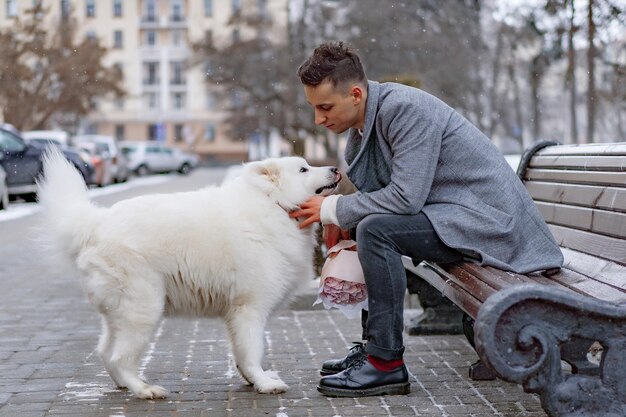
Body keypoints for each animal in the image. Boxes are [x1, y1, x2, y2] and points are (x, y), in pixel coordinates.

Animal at [36, 149, 338, 396]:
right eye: (303, 169)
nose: (336, 169)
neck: (273, 204)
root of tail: (95, 224)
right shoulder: (249, 309)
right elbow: (252, 352)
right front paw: (264, 383)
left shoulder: (235, 315)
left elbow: (241, 355)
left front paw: (252, 380)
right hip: (144, 310)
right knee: (119, 357)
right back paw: (145, 390)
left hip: (119, 314)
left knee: (105, 352)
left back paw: (124, 384)